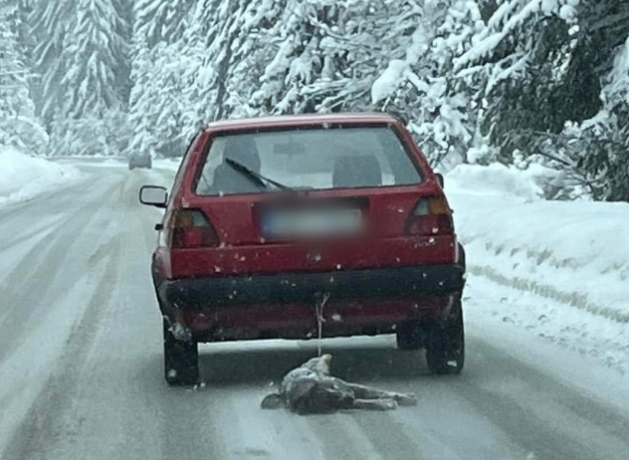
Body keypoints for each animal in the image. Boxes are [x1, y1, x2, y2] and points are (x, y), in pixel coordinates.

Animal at [260, 354, 418, 416]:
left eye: (333, 387)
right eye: (331, 398)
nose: (348, 396)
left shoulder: (351, 387)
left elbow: (380, 392)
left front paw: (403, 397)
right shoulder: (347, 401)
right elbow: (364, 402)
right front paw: (384, 403)